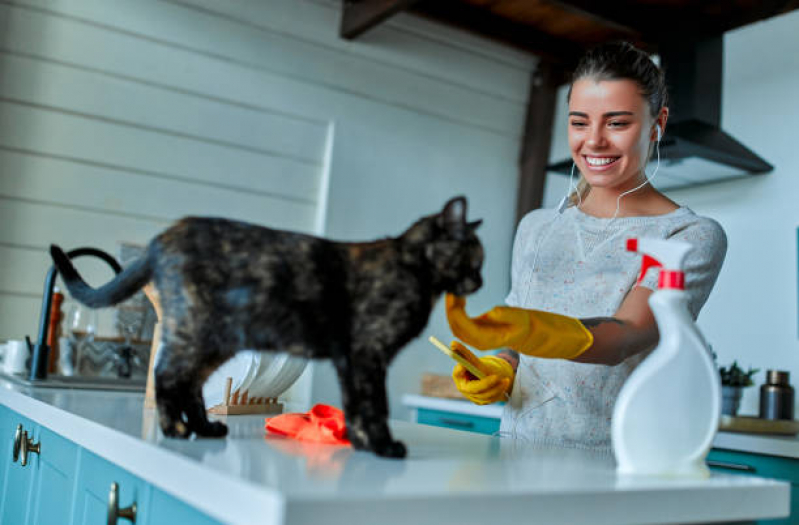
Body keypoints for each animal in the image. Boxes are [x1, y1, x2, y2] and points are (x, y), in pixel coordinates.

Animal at [54, 195, 488, 454]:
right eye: (475, 258)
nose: (481, 282)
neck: (413, 269)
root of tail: (163, 237)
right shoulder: (368, 355)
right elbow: (375, 404)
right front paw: (384, 447)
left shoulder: (350, 360)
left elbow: (356, 405)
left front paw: (363, 443)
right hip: (197, 330)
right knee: (166, 375)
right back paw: (175, 430)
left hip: (216, 340)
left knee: (191, 383)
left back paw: (205, 428)